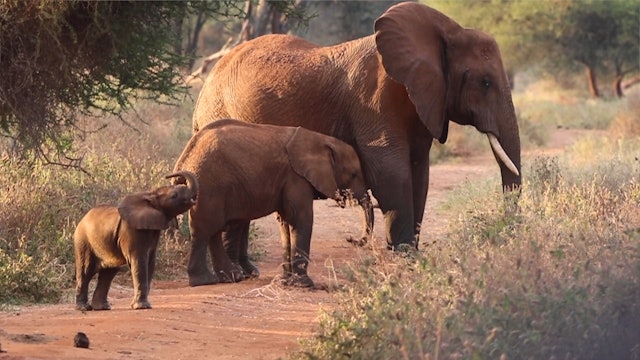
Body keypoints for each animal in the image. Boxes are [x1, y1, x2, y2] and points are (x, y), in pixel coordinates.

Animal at [73, 171, 198, 310]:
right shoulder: (131, 232)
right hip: (83, 241)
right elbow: (139, 262)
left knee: (108, 272)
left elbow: (150, 263)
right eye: (174, 196)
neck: (150, 195)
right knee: (86, 271)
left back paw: (102, 307)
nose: (168, 176)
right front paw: (142, 307)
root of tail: (82, 219)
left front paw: (140, 305)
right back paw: (84, 308)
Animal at [172, 119, 370, 288]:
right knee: (204, 230)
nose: (350, 238)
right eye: (353, 175)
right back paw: (204, 281)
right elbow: (301, 219)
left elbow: (286, 222)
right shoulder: (296, 178)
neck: (321, 140)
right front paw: (304, 285)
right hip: (209, 185)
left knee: (212, 231)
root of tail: (185, 155)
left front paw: (285, 281)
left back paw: (230, 277)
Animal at [189, 2, 520, 284]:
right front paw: (405, 256)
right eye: (485, 83)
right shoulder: (375, 99)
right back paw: (237, 274)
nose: (506, 233)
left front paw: (412, 255)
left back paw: (248, 271)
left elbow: (419, 171)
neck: (445, 32)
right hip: (221, 113)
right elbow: (390, 171)